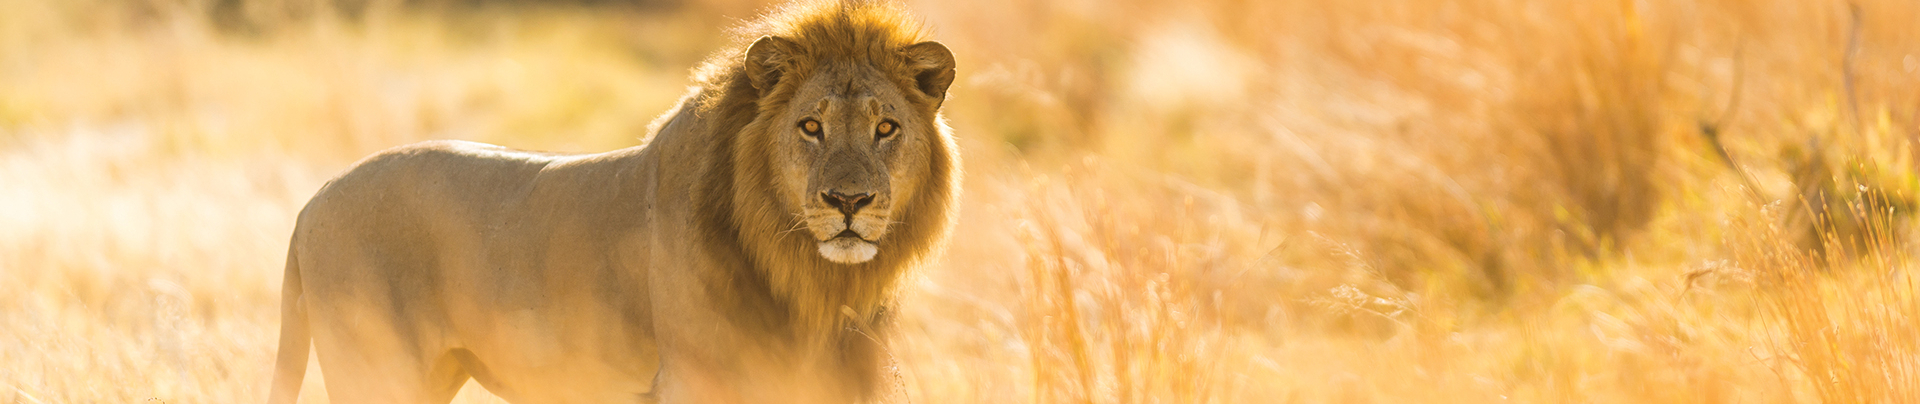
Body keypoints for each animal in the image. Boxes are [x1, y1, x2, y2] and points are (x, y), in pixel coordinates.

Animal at [263, 2, 959, 403]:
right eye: (811, 126)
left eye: (886, 128)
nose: (849, 200)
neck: (810, 284)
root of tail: (311, 203)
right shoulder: (692, 382)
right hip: (376, 373)